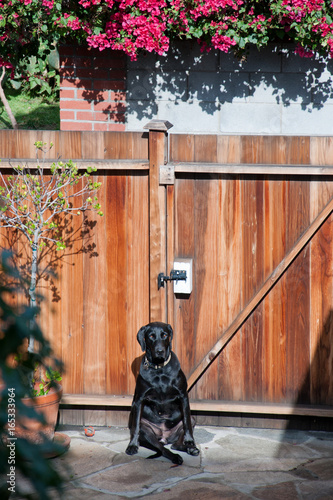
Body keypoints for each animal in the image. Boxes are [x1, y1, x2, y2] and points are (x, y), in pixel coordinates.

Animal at [124, 322, 197, 462]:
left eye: (164, 335)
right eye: (151, 336)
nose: (159, 351)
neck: (159, 368)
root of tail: (164, 437)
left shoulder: (183, 396)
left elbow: (187, 423)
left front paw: (190, 442)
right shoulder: (139, 399)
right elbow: (136, 426)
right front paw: (132, 445)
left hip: (192, 419)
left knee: (176, 444)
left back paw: (191, 448)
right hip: (148, 432)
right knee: (163, 449)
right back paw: (175, 457)